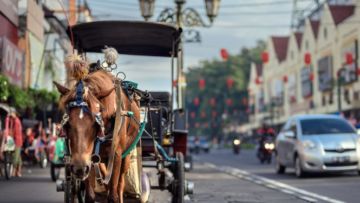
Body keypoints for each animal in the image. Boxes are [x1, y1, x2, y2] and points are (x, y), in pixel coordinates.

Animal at [54, 69, 140, 202]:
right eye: (67, 124)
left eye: (96, 124)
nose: (79, 168)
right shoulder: (89, 160)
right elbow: (90, 195)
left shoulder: (116, 155)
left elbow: (113, 195)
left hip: (126, 155)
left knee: (120, 185)